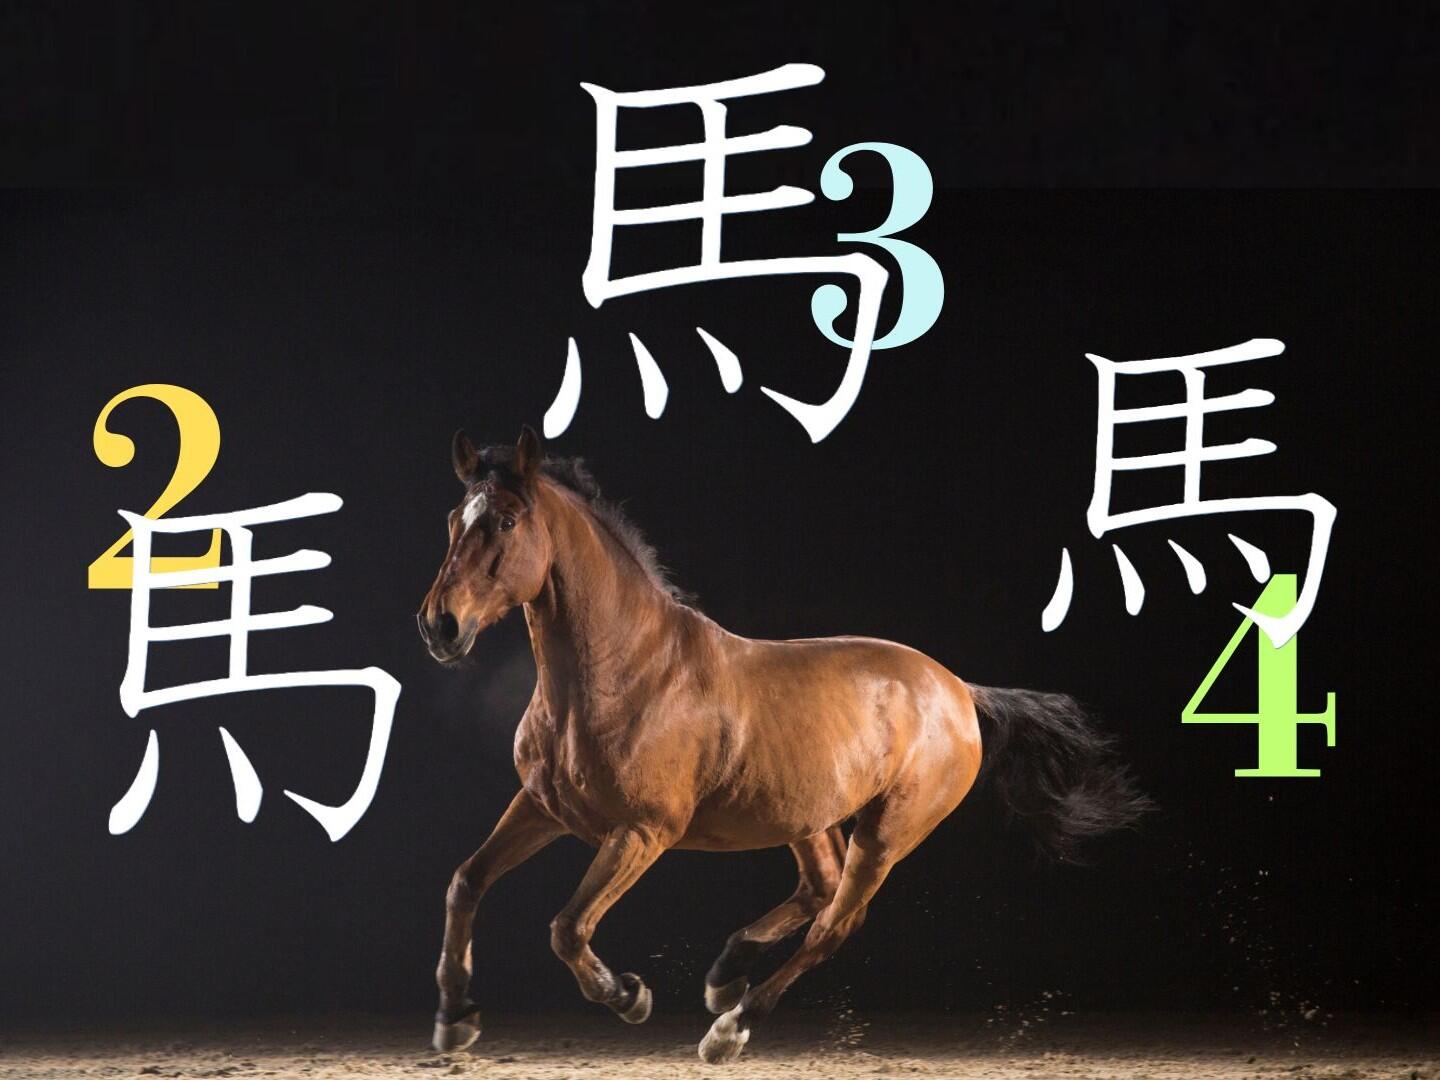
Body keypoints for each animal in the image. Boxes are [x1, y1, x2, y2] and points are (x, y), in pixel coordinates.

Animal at [416, 426, 1149, 1064]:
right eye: (454, 518)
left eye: (506, 522)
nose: (440, 626)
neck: (627, 673)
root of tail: (959, 692)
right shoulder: (544, 807)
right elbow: (464, 881)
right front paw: (455, 1019)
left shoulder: (642, 832)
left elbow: (568, 928)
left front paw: (628, 995)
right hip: (808, 815)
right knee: (819, 886)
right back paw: (726, 974)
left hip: (888, 832)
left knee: (835, 923)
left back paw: (730, 1027)